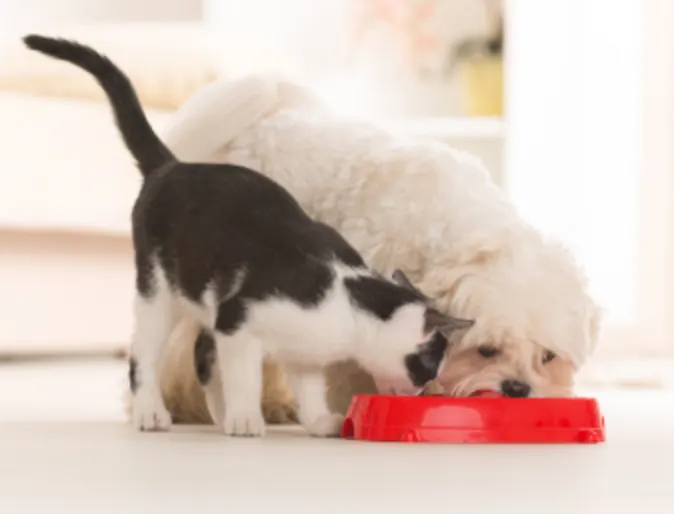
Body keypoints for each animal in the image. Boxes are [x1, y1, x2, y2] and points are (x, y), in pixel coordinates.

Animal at [26, 36, 472, 436]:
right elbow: (244, 376)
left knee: (201, 356)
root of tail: (172, 165)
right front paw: (246, 418)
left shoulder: (302, 353)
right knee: (145, 356)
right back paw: (155, 413)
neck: (346, 302)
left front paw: (317, 422)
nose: (424, 392)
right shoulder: (238, 321)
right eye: (429, 365)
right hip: (158, 292)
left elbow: (308, 388)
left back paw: (218, 414)